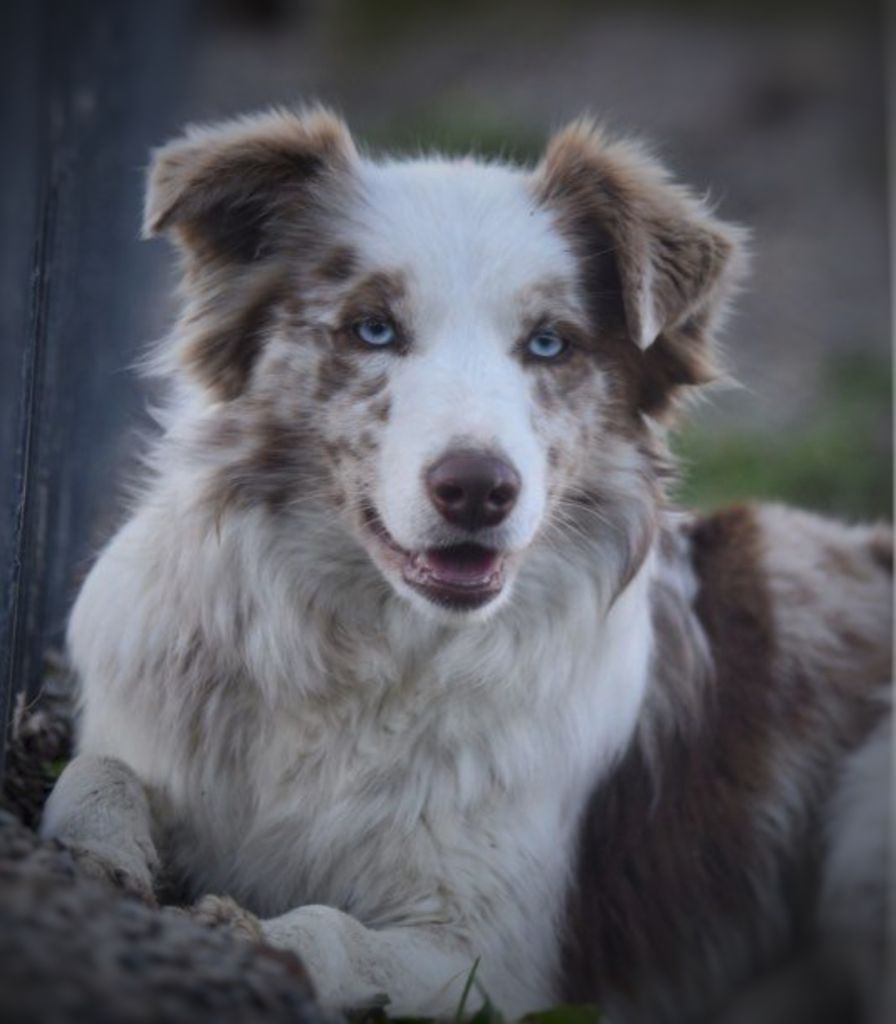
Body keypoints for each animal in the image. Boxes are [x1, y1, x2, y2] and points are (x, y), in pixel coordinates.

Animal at [40, 108, 888, 1019]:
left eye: (549, 344)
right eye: (373, 328)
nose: (478, 490)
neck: (365, 655)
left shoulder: (495, 953)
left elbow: (326, 931)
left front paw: (249, 933)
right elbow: (93, 774)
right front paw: (103, 860)